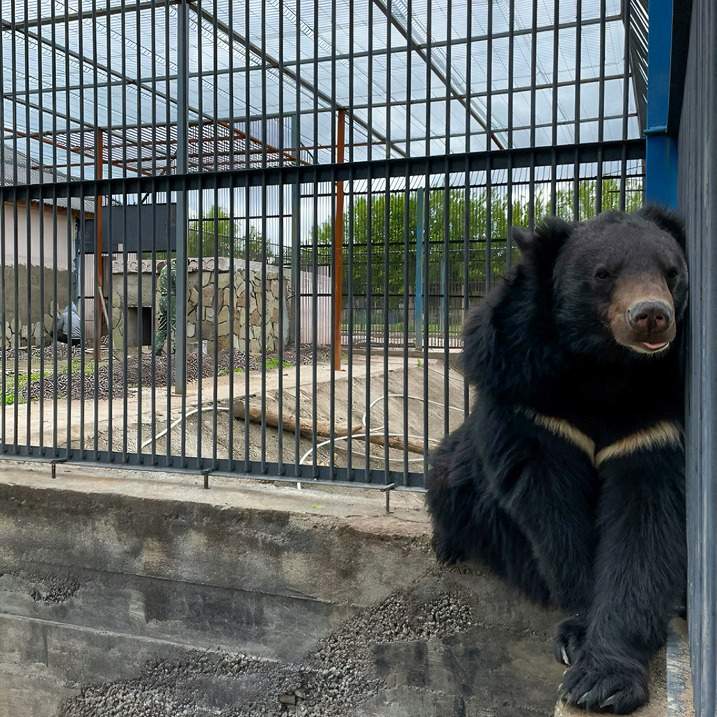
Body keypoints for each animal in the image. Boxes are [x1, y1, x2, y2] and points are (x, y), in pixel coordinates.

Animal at [426, 206, 688, 712]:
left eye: (672, 274)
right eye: (603, 274)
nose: (651, 316)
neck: (607, 369)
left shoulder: (657, 425)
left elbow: (647, 525)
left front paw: (603, 682)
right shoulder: (529, 394)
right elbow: (553, 511)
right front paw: (578, 637)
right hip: (455, 472)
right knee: (448, 481)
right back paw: (448, 546)